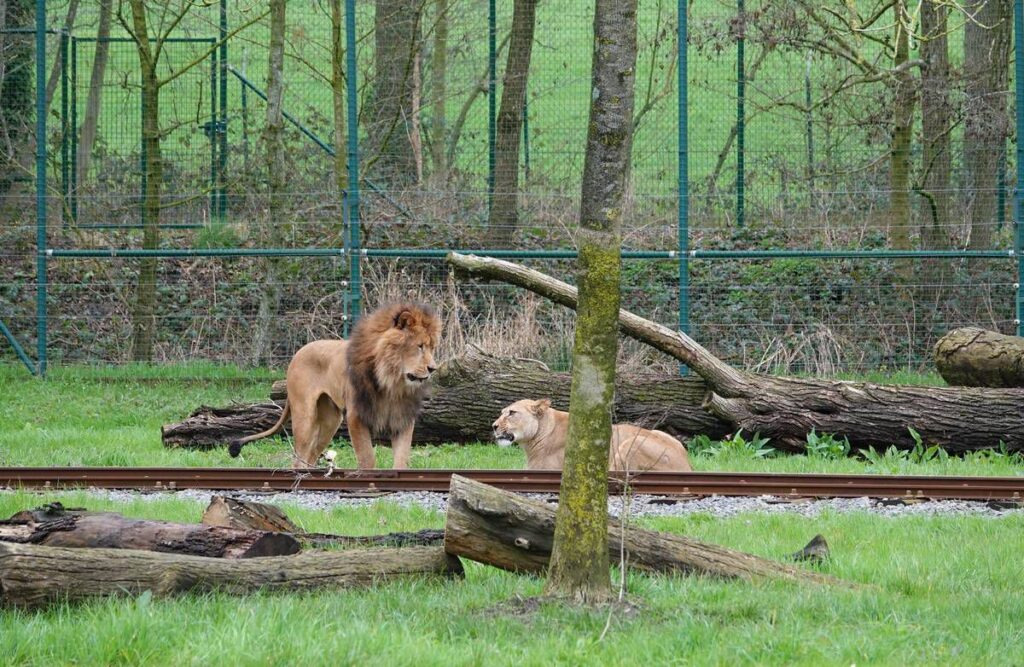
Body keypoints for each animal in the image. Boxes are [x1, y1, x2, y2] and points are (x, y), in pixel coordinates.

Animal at [228, 302, 441, 469]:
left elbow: (402, 459)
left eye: (432, 347)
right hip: (305, 417)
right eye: (419, 346)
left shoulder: (402, 418)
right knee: (299, 458)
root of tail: (298, 353)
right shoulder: (356, 416)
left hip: (330, 421)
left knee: (311, 456)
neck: (392, 382)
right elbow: (367, 458)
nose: (433, 368)